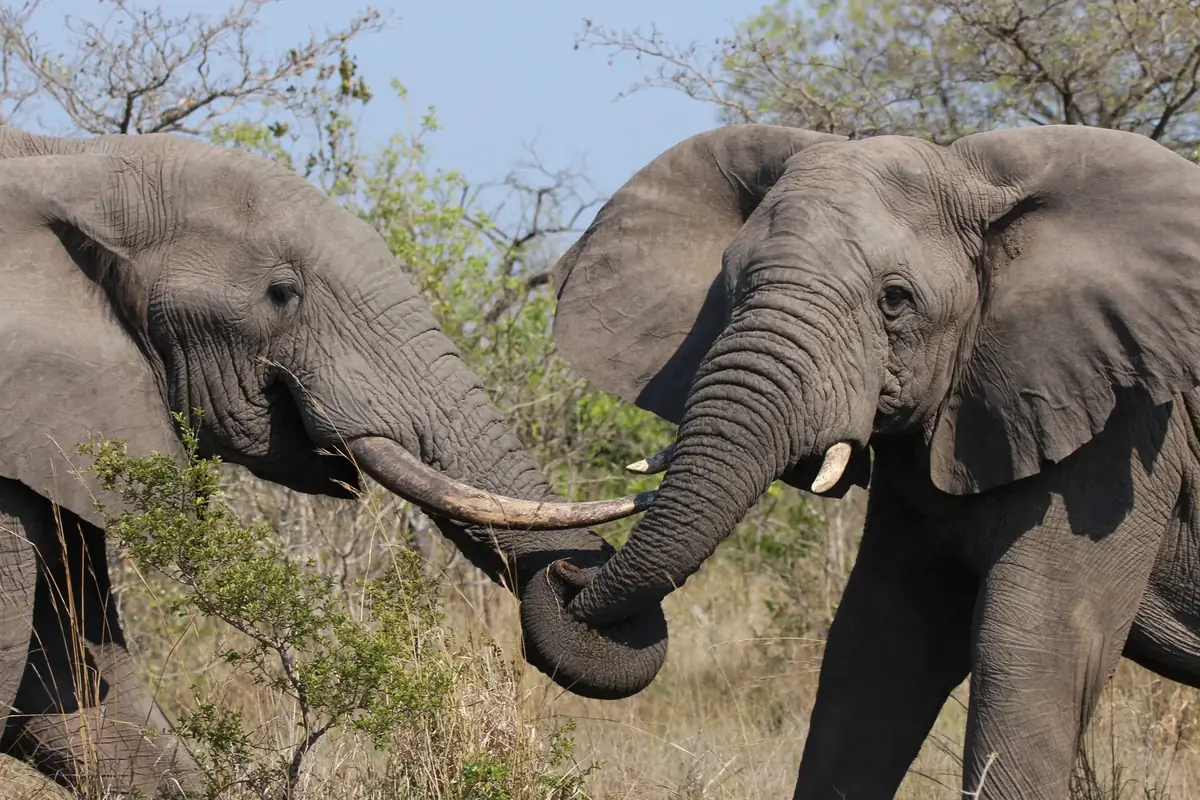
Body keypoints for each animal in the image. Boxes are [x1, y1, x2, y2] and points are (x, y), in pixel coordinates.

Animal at [548, 122, 1200, 798]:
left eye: (894, 300)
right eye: (728, 286)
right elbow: (877, 649)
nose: (567, 572)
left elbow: (1030, 649)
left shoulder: (1125, 432)